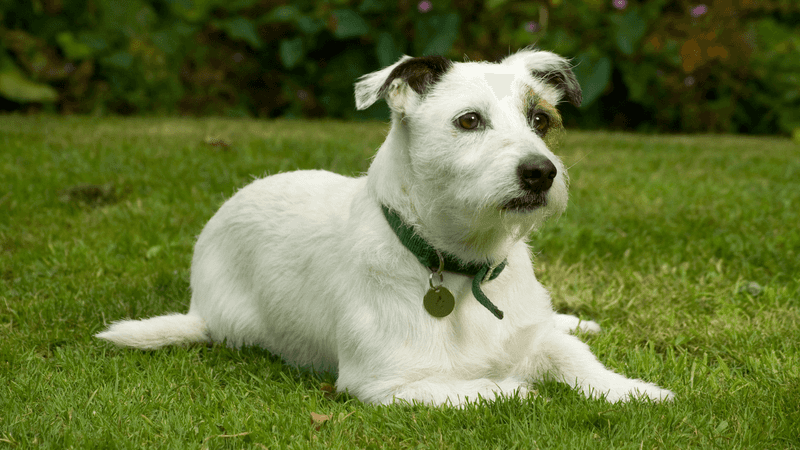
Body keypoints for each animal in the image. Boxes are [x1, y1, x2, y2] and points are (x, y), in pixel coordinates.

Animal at [98, 47, 676, 406]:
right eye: (469, 121)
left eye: (541, 121)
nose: (540, 173)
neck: (465, 269)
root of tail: (200, 302)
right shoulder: (387, 384)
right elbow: (496, 389)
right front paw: (525, 390)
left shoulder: (533, 338)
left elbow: (574, 358)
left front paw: (634, 390)